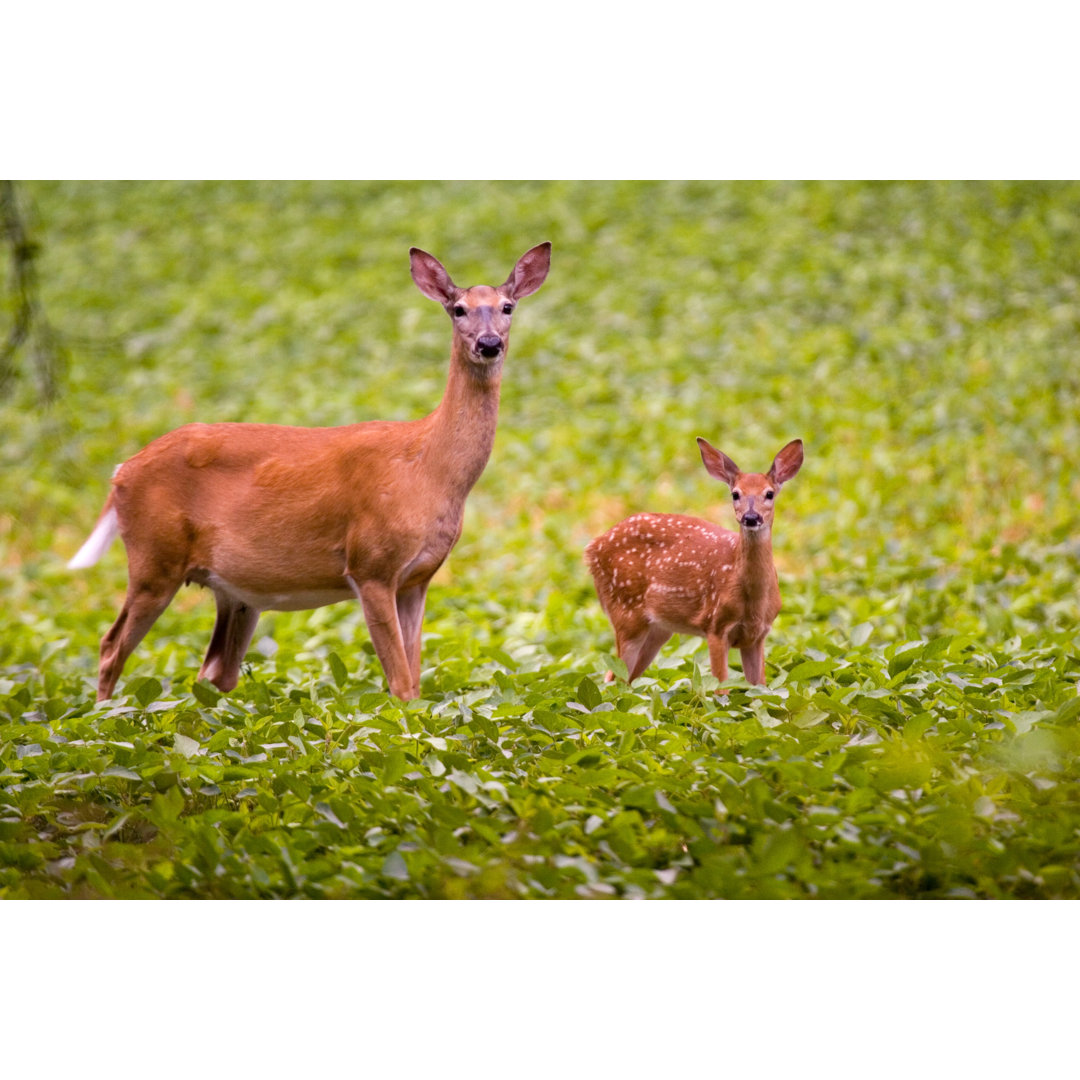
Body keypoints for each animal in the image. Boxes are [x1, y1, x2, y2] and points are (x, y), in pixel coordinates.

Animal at [69, 244, 548, 699]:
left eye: (507, 306)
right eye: (458, 309)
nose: (489, 343)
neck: (428, 468)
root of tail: (120, 472)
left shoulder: (418, 578)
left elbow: (416, 681)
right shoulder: (370, 565)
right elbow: (400, 685)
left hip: (232, 592)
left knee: (212, 673)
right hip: (153, 558)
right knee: (110, 647)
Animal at [583, 438, 803, 691]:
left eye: (769, 493)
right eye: (735, 494)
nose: (750, 517)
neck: (753, 602)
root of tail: (592, 548)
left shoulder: (757, 636)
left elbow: (760, 689)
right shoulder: (716, 626)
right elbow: (720, 688)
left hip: (658, 630)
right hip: (625, 612)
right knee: (613, 679)